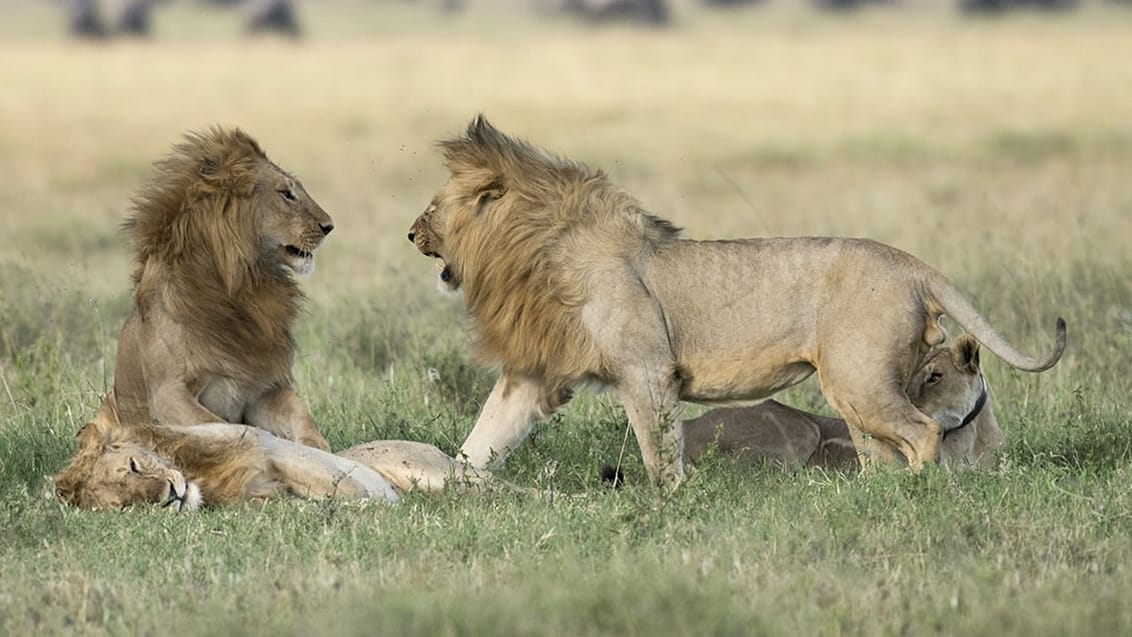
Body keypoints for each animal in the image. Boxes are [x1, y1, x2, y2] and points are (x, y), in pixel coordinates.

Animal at [101, 127, 332, 450]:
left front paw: (318, 448)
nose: (329, 226)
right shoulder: (168, 393)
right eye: (286, 194)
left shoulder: (262, 390)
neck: (242, 287)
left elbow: (301, 414)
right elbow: (223, 426)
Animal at [679, 334, 1000, 472]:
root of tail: (689, 423)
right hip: (800, 430)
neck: (966, 436)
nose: (908, 407)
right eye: (907, 377)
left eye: (935, 376)